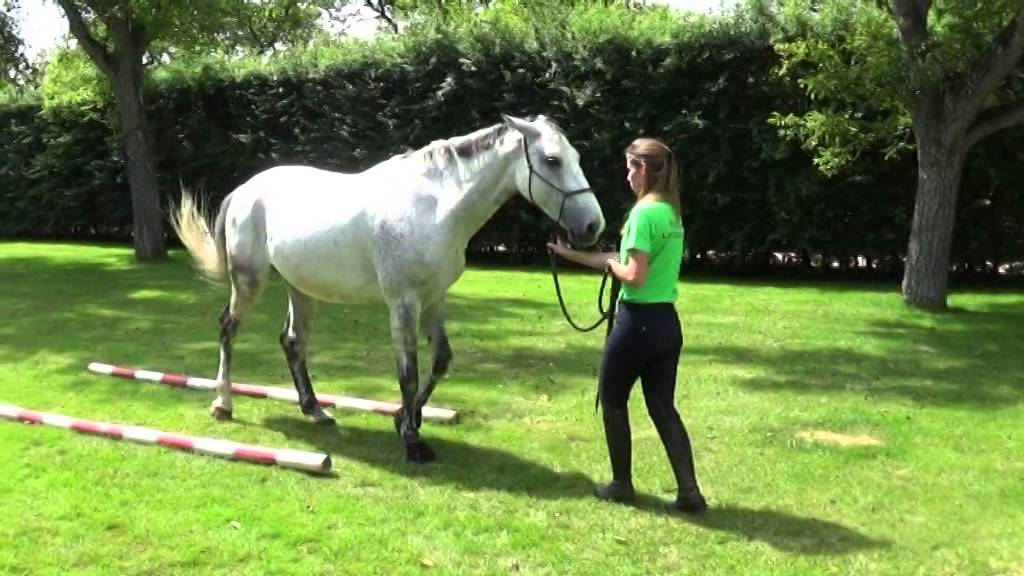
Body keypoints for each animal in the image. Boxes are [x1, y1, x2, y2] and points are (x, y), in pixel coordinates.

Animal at [170, 114, 606, 462]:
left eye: (578, 158)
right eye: (552, 160)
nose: (592, 227)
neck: (435, 208)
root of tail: (245, 190)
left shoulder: (434, 301)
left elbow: (441, 360)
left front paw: (403, 419)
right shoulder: (403, 304)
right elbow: (408, 372)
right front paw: (413, 441)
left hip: (301, 287)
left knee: (293, 342)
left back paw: (316, 410)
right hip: (250, 281)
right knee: (228, 327)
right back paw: (223, 403)